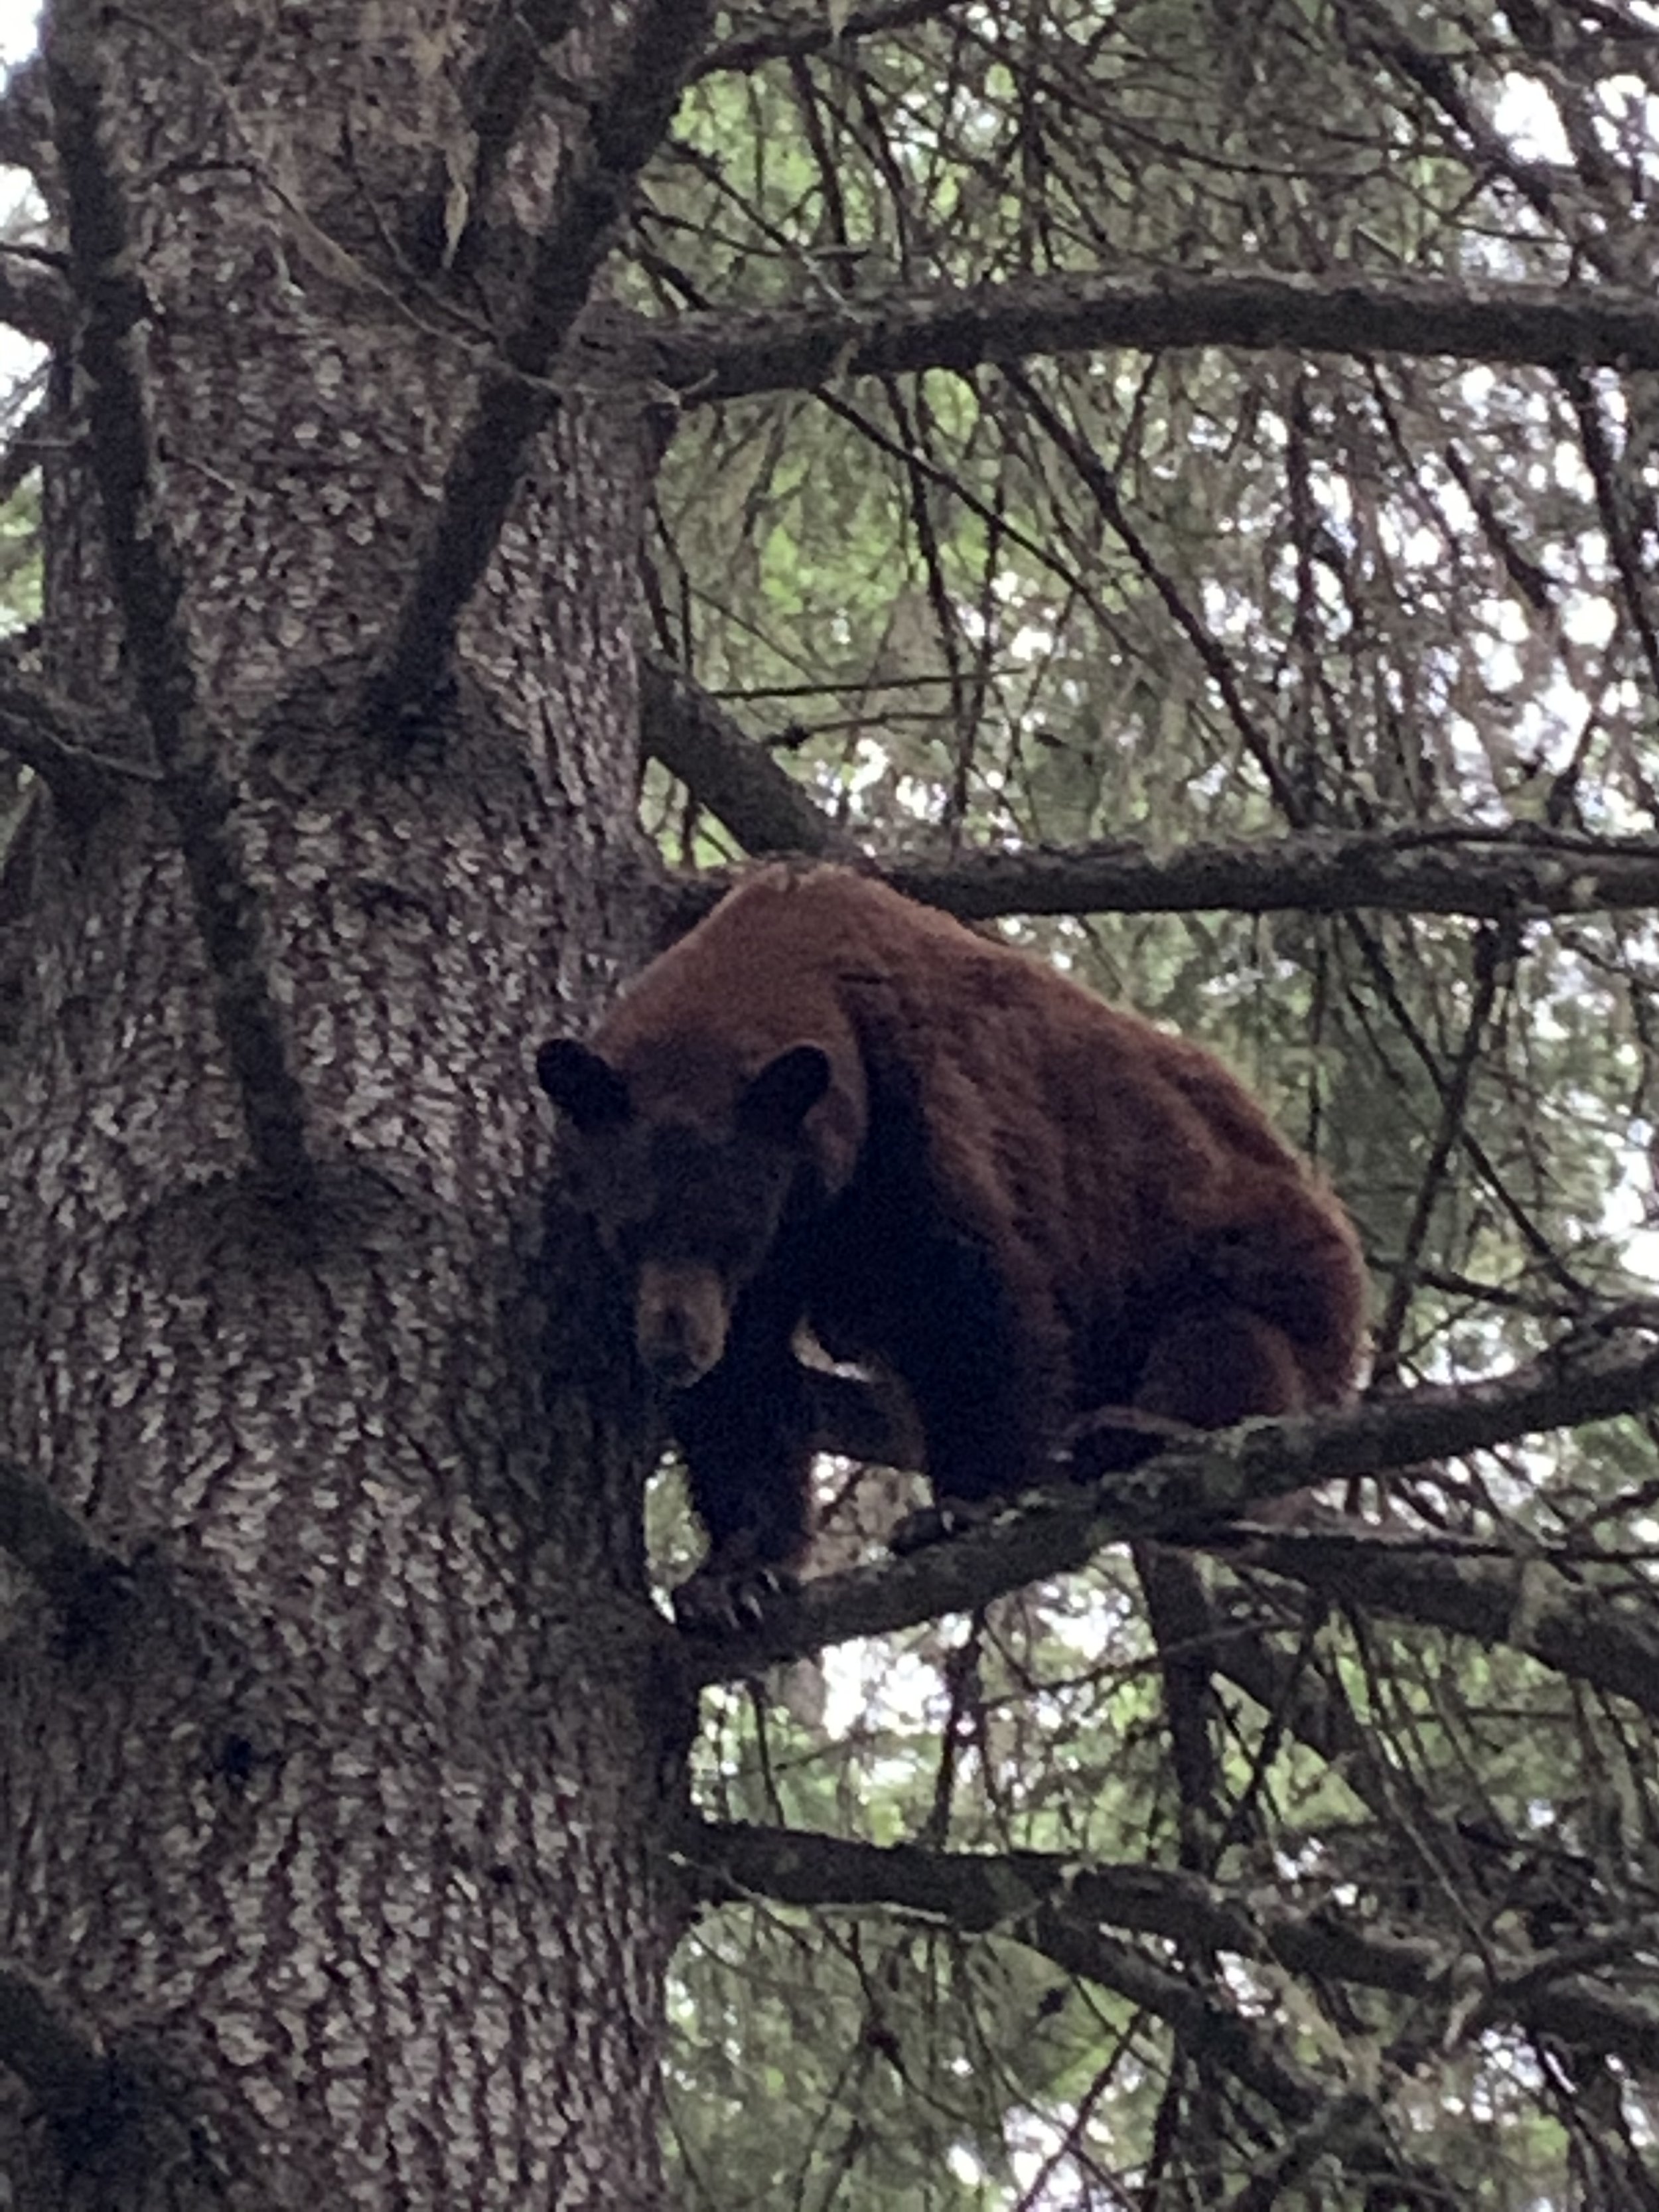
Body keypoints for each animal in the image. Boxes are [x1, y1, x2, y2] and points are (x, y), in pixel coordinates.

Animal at [537, 863, 1367, 1626]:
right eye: (625, 1229)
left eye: (733, 1236)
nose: (675, 1347)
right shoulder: (785, 1242)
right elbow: (746, 1390)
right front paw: (735, 1574)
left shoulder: (913, 1111)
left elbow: (968, 1295)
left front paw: (962, 1505)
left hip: (1260, 1260)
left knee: (1226, 1342)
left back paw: (1138, 1435)